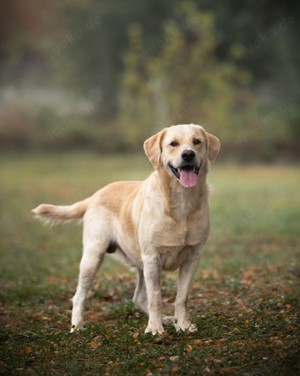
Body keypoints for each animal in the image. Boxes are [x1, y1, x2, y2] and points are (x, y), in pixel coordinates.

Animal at [32, 123, 220, 334]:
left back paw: (167, 319)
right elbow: (156, 297)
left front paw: (183, 324)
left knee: (138, 297)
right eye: (173, 143)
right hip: (93, 257)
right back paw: (77, 325)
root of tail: (95, 195)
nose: (188, 154)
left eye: (197, 141)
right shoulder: (152, 257)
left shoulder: (192, 257)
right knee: (79, 296)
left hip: (139, 263)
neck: (182, 202)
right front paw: (155, 328)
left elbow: (182, 296)